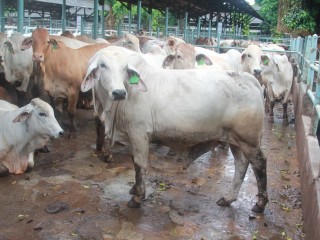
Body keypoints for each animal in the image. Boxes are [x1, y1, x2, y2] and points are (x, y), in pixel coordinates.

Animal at [81, 46, 268, 213]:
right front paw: (134, 188)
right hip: (234, 140)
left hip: (248, 140)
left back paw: (260, 204)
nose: (119, 92)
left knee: (259, 163)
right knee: (241, 164)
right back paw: (228, 198)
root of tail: (250, 79)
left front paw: (137, 197)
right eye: (103, 65)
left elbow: (139, 165)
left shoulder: (139, 133)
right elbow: (134, 162)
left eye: (125, 67)